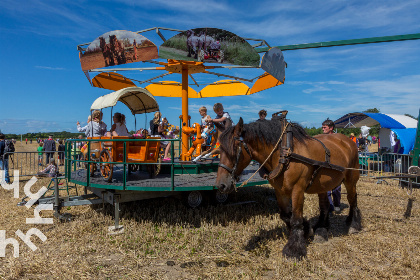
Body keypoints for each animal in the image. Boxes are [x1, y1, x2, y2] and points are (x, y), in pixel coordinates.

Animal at [217, 117, 360, 260]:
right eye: (220, 150)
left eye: (234, 149)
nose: (221, 185)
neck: (284, 152)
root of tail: (347, 141)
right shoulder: (280, 191)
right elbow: (286, 215)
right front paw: (306, 230)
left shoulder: (298, 189)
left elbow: (296, 218)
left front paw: (294, 248)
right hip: (323, 184)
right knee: (324, 205)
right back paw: (322, 229)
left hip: (351, 179)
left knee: (352, 199)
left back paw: (353, 224)